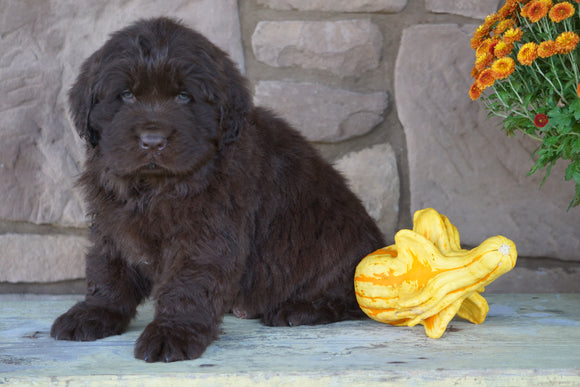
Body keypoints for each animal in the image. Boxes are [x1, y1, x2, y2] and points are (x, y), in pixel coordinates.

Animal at [49, 17, 386, 364]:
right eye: (127, 95)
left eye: (184, 96)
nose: (153, 141)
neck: (155, 186)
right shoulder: (112, 223)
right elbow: (106, 270)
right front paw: (94, 313)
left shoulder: (205, 234)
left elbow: (188, 284)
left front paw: (172, 333)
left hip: (335, 245)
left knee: (349, 298)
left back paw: (300, 309)